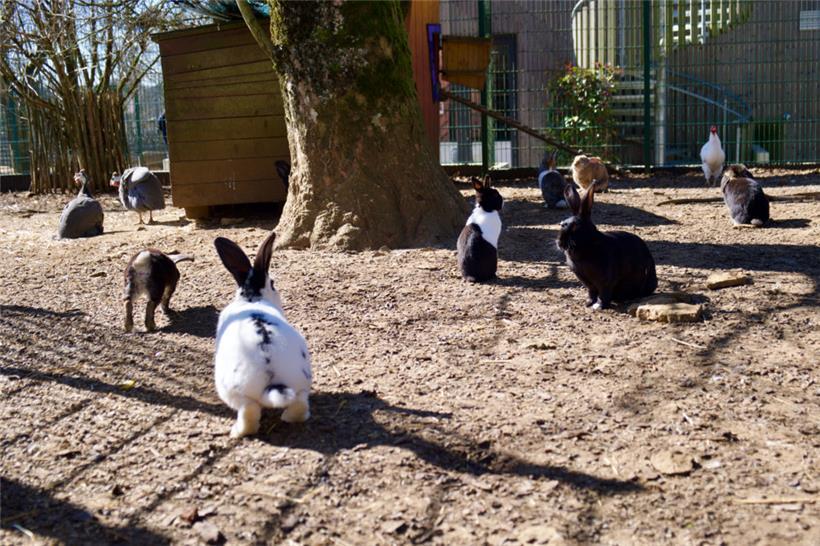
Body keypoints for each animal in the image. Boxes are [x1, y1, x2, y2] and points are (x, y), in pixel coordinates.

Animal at [213, 230, 311, 438]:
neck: (253, 298)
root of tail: (273, 378)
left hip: (235, 393)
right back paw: (288, 417)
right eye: (273, 283)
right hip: (301, 386)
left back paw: (237, 432)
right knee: (299, 405)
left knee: (249, 413)